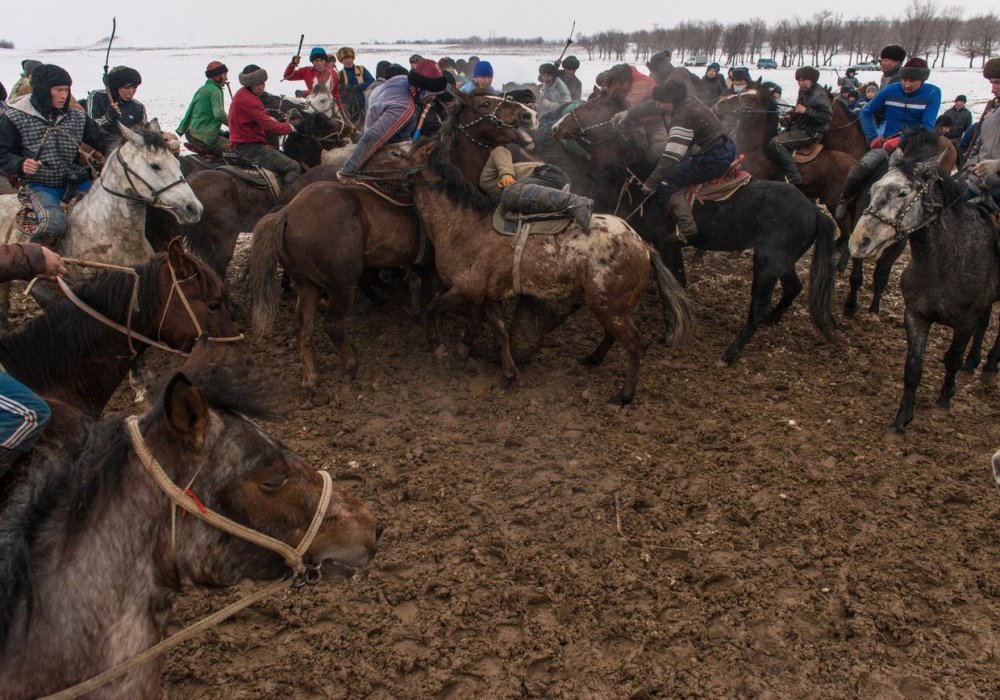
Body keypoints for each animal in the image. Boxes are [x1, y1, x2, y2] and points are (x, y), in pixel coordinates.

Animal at [402, 91, 692, 404]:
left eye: (407, 154)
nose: (527, 115)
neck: (463, 222)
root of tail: (643, 245)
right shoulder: (490, 297)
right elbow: (501, 334)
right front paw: (507, 376)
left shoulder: (465, 291)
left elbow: (433, 307)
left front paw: (440, 346)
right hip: (613, 307)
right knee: (615, 337)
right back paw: (593, 358)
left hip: (609, 307)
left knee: (637, 345)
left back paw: (623, 396)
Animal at [592, 161, 836, 364]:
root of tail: (815, 212)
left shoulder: (667, 246)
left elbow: (671, 285)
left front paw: (671, 331)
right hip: (782, 263)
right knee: (794, 287)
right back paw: (773, 318)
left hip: (768, 263)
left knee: (759, 308)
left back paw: (730, 353)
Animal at [844, 130, 1000, 432]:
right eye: (873, 188)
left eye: (903, 192)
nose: (859, 240)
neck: (948, 262)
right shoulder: (916, 314)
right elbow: (913, 367)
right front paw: (901, 420)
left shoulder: (965, 320)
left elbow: (952, 358)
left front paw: (944, 399)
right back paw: (974, 363)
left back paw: (988, 367)